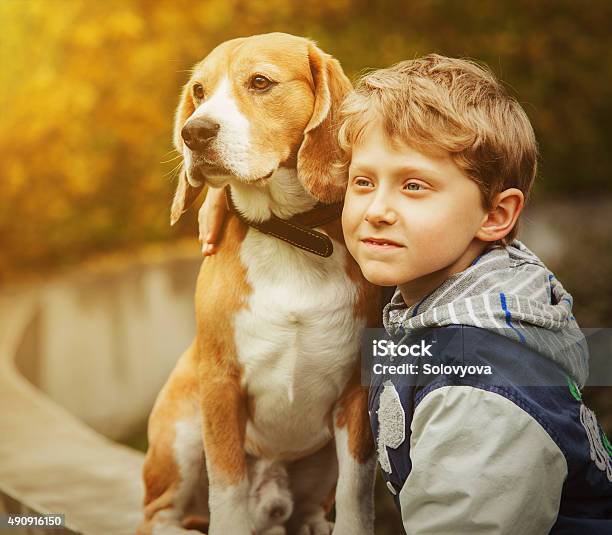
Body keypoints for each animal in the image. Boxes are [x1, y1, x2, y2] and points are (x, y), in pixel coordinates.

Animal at [138, 32, 380, 535]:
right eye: (199, 91)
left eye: (261, 82)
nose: (194, 133)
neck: (289, 234)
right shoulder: (220, 386)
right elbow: (227, 489)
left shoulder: (357, 396)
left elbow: (355, 498)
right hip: (182, 431)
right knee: (157, 515)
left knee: (308, 508)